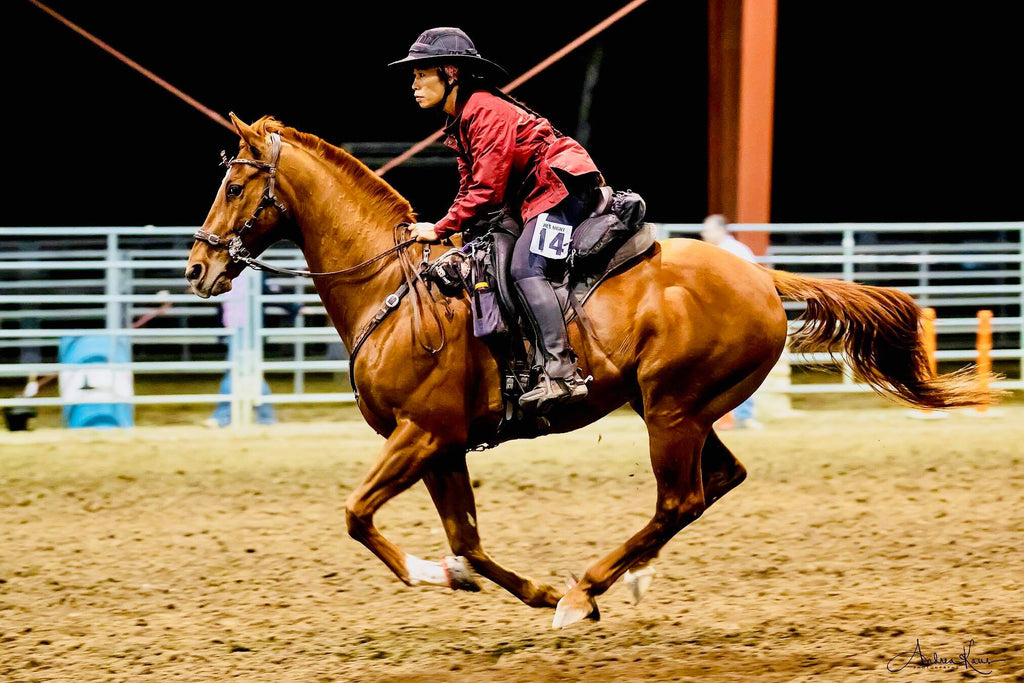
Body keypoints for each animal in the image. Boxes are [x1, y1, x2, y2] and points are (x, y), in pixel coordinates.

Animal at [186, 114, 991, 626]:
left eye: (234, 186)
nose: (197, 267)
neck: (400, 287)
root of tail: (760, 279)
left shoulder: (422, 433)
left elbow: (358, 514)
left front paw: (443, 576)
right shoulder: (442, 446)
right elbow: (468, 542)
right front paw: (495, 581)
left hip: (671, 412)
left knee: (680, 498)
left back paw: (587, 592)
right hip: (682, 410)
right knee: (714, 485)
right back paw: (614, 579)